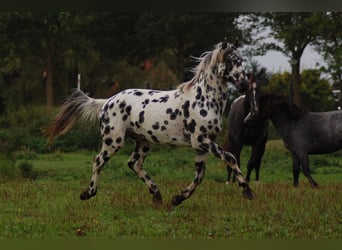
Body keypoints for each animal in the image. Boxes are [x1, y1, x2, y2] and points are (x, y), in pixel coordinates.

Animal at [44, 39, 255, 207]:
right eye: (229, 60)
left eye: (241, 61)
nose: (244, 85)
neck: (204, 99)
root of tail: (106, 102)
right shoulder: (201, 141)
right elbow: (230, 158)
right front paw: (247, 190)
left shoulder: (202, 145)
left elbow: (199, 176)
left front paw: (178, 198)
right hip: (114, 141)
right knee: (98, 161)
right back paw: (88, 193)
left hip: (144, 142)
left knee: (133, 163)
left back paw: (157, 194)